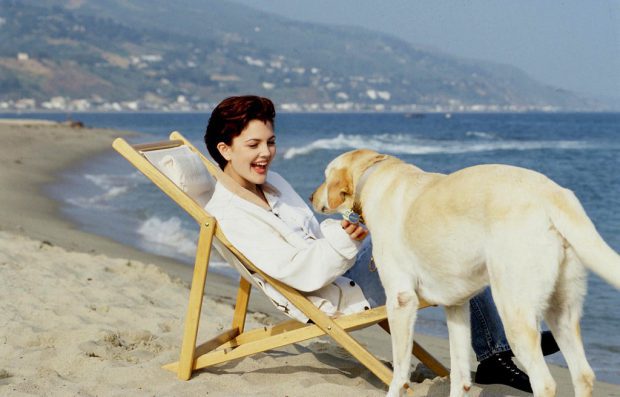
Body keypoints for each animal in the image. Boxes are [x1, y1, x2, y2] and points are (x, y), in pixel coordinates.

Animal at [312, 149, 616, 396]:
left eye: (325, 176)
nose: (311, 196)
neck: (375, 173)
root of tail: (554, 194)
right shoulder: (456, 306)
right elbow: (459, 375)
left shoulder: (401, 301)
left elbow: (399, 373)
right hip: (561, 311)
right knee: (584, 375)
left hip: (516, 313)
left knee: (546, 383)